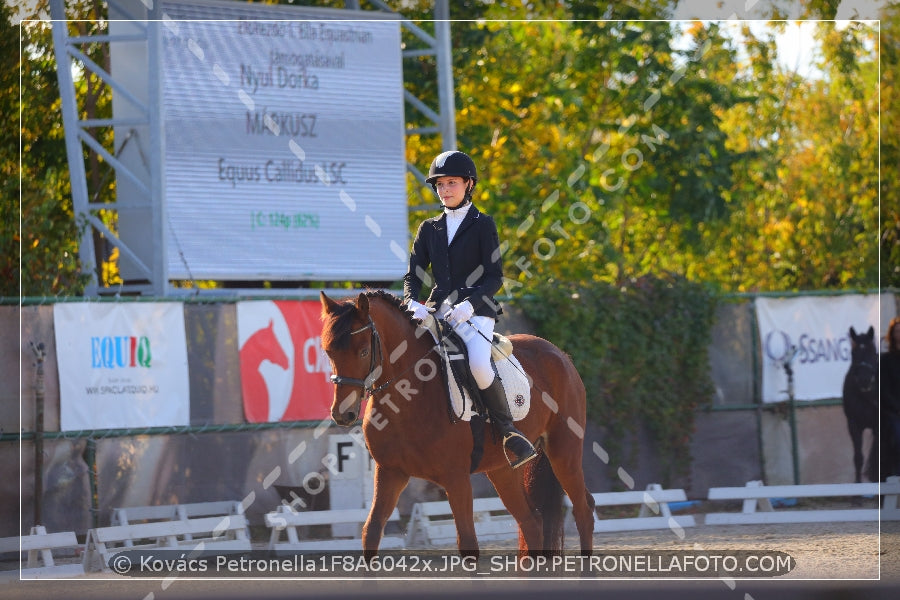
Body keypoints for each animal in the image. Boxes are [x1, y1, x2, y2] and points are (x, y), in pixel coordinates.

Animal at [320, 290, 596, 556]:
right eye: (328, 351)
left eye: (364, 351)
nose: (343, 414)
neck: (409, 395)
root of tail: (558, 353)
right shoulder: (390, 472)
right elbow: (371, 531)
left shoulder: (456, 478)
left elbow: (467, 541)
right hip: (503, 469)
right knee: (531, 521)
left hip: (564, 452)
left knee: (583, 510)